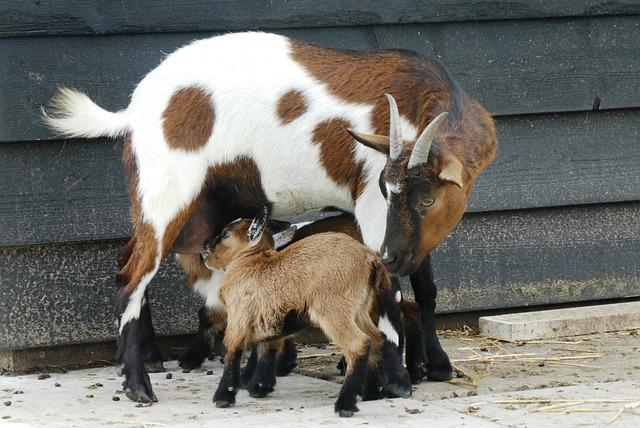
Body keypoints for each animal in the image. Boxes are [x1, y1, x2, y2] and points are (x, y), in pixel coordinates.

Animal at [202, 209, 410, 416]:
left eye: (225, 234)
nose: (205, 250)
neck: (250, 261)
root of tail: (369, 258)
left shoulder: (238, 318)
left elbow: (233, 351)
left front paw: (223, 397)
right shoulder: (269, 319)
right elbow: (267, 349)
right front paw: (259, 387)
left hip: (333, 310)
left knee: (358, 344)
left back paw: (345, 405)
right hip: (359, 308)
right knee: (377, 338)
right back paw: (373, 393)